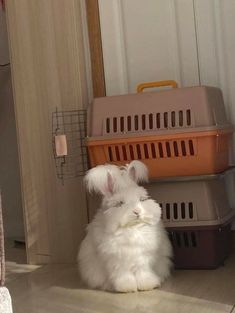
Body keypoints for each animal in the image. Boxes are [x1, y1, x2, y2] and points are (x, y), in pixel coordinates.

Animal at [78, 161, 172, 292]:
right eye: (120, 203)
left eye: (142, 199)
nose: (137, 211)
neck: (132, 229)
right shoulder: (117, 262)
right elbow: (124, 275)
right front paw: (127, 288)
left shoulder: (144, 259)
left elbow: (144, 273)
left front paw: (147, 285)